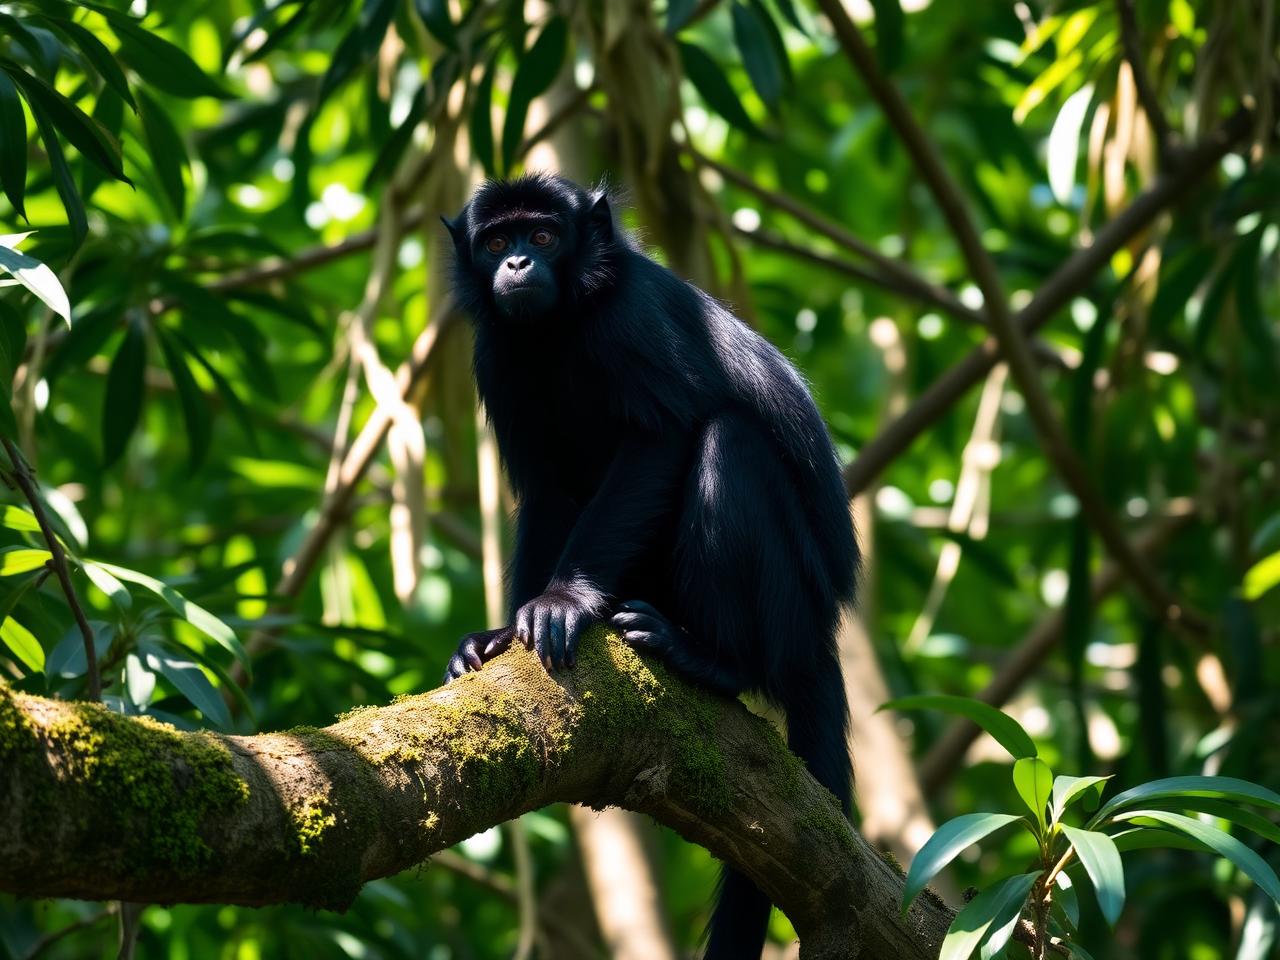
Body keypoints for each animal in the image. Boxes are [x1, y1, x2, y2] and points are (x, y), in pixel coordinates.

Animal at [441, 174, 857, 960]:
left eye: (543, 237)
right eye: (496, 241)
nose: (516, 265)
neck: (562, 326)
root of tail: (822, 636)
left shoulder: (628, 319)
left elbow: (661, 436)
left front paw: (563, 600)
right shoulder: (495, 352)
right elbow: (546, 489)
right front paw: (500, 637)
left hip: (791, 606)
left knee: (729, 442)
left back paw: (709, 659)